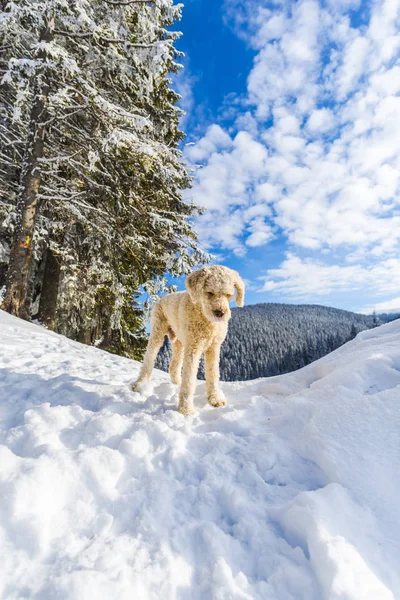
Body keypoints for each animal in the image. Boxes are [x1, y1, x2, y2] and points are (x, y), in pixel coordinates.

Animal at [132, 264, 244, 414]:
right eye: (209, 292)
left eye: (229, 295)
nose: (220, 313)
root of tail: (162, 298)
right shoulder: (193, 347)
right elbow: (190, 378)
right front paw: (185, 409)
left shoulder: (214, 347)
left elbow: (213, 374)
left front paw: (215, 399)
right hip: (157, 331)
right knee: (149, 358)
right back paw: (140, 384)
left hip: (179, 341)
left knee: (174, 365)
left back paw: (176, 383)